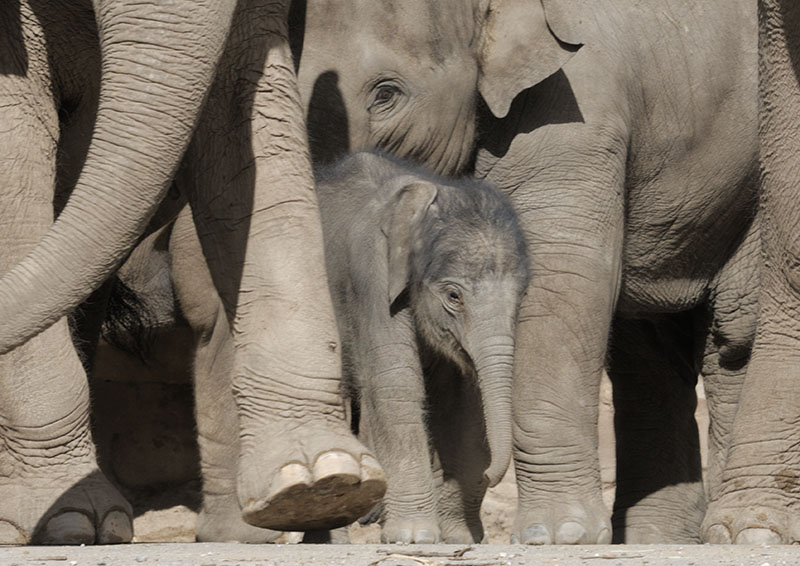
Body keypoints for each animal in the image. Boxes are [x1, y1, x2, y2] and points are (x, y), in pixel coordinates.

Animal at [314, 151, 529, 543]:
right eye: (454, 296)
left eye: (521, 296)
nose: (490, 475)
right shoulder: (371, 275)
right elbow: (396, 383)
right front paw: (413, 538)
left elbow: (466, 403)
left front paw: (458, 538)